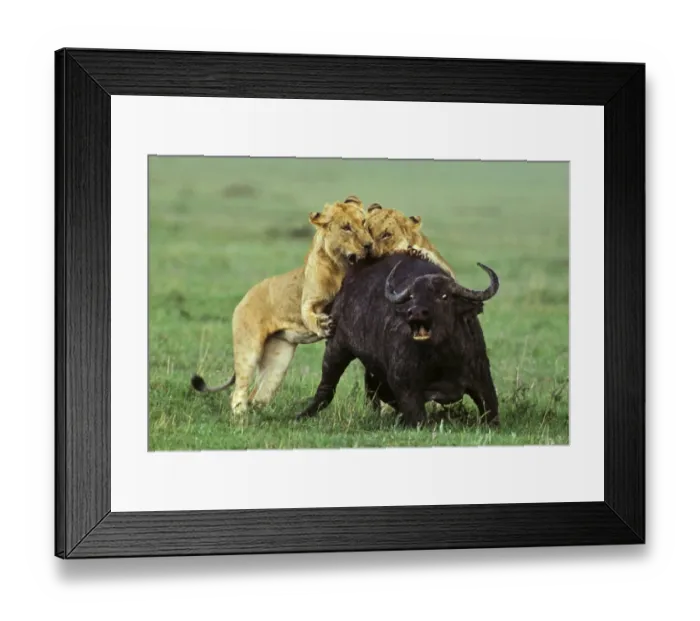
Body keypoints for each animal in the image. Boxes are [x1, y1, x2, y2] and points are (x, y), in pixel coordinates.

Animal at [190, 195, 373, 414]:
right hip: (249, 350)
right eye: (346, 227)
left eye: (364, 223)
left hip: (277, 364)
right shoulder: (308, 301)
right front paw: (323, 325)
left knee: (258, 395)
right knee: (238, 393)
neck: (342, 267)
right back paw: (241, 418)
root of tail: (244, 298)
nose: (369, 245)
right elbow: (309, 314)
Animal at [296, 252, 500, 427]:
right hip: (336, 347)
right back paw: (302, 414)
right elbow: (417, 417)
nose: (415, 312)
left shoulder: (482, 377)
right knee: (327, 387)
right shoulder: (405, 385)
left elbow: (491, 408)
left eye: (444, 296)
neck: (442, 357)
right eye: (412, 297)